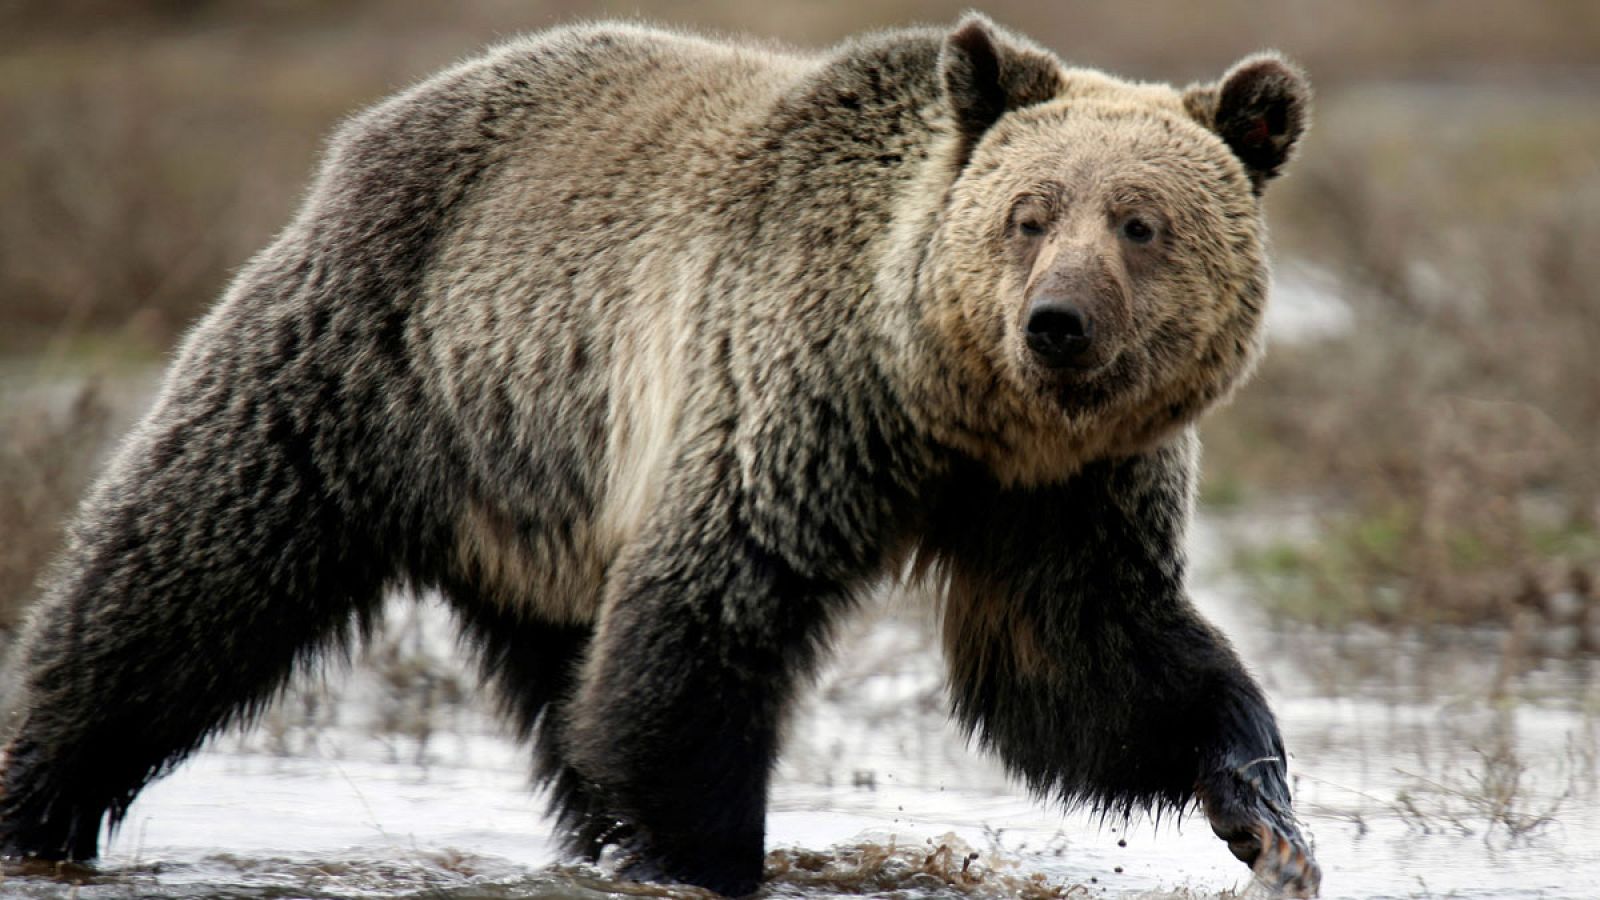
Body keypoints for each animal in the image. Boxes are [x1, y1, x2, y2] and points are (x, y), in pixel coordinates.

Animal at [0, 14, 1318, 898]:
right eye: (1028, 213)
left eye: (1141, 223)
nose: (1056, 322)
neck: (951, 407)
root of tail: (379, 122)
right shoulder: (790, 400)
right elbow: (705, 624)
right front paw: (710, 853)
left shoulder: (1062, 495)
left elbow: (1085, 664)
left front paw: (1263, 805)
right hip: (373, 365)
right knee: (180, 579)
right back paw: (39, 796)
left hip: (542, 496)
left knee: (565, 688)